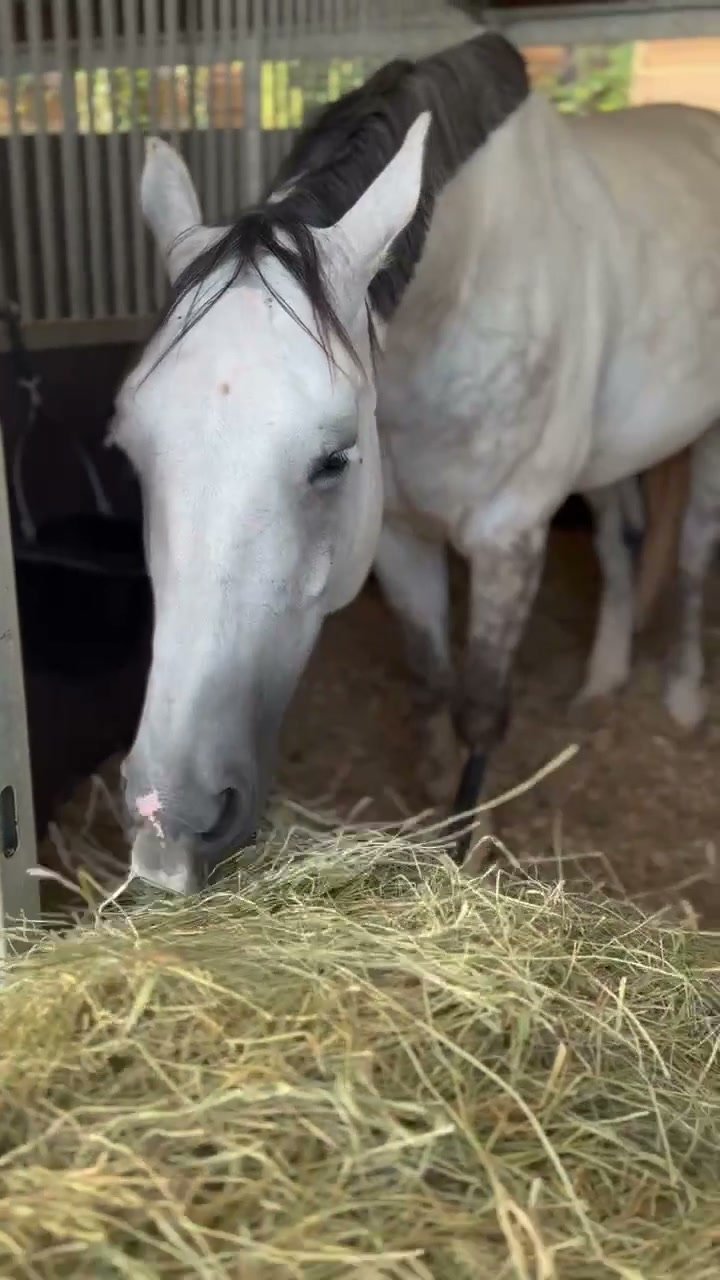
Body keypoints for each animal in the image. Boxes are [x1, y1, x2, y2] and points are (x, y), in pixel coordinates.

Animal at [112, 31, 720, 893]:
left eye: (334, 459)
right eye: (130, 451)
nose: (169, 821)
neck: (465, 285)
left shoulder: (509, 536)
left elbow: (481, 706)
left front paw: (466, 838)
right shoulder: (397, 535)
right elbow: (430, 676)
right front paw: (433, 788)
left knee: (695, 554)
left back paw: (684, 691)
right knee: (621, 538)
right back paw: (603, 680)